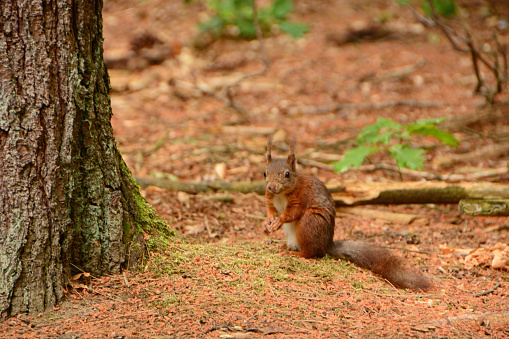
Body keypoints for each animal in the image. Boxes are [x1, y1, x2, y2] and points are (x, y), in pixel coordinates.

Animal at [262, 137, 432, 290]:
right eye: (264, 173)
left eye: (287, 174)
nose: (271, 186)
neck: (280, 194)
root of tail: (327, 245)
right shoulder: (270, 199)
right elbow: (270, 211)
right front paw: (267, 223)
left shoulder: (300, 198)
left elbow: (293, 212)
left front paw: (278, 221)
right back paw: (285, 246)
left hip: (310, 221)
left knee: (311, 253)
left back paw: (295, 254)